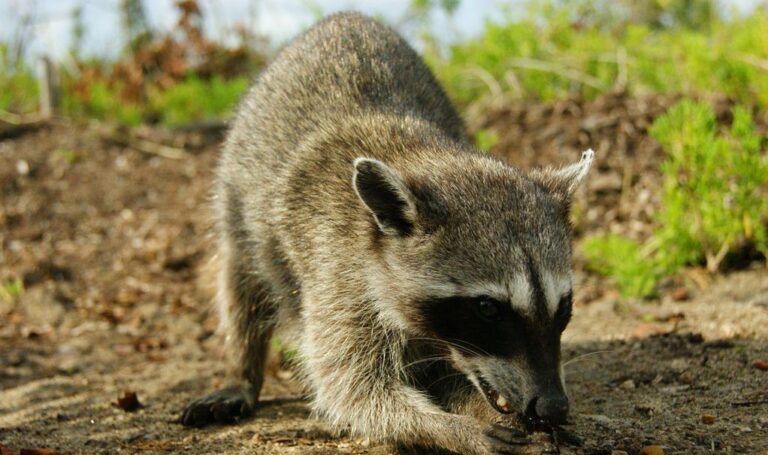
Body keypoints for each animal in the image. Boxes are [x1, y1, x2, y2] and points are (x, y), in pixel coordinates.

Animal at [180, 11, 593, 455]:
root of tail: (344, 17)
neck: (419, 155)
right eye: (488, 308)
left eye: (564, 305)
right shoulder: (337, 275)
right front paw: (451, 427)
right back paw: (243, 370)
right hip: (237, 196)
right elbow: (352, 386)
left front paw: (480, 413)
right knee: (241, 286)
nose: (552, 406)